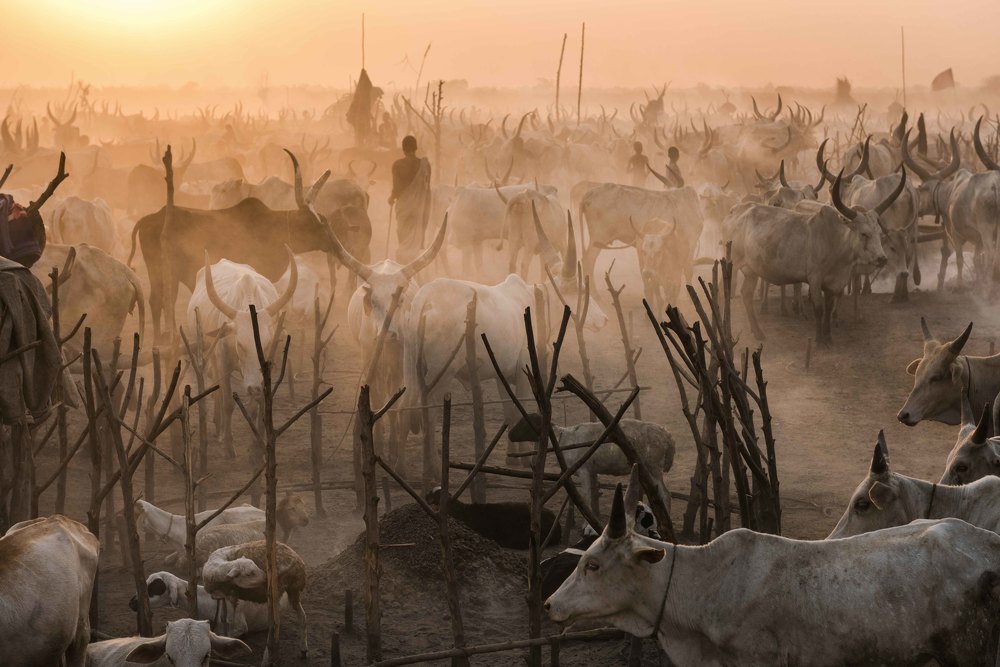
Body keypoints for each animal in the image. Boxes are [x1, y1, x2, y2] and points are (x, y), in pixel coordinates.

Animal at [188, 249, 298, 454]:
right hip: (211, 355)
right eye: (240, 344)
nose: (253, 387)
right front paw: (229, 447)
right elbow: (228, 403)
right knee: (217, 388)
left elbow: (256, 406)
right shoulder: (223, 362)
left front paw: (256, 444)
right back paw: (219, 427)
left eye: (268, 344)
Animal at [727, 169, 901, 343]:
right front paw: (819, 340)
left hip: (751, 271)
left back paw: (758, 332)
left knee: (746, 295)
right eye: (864, 233)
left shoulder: (833, 283)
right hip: (733, 265)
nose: (882, 259)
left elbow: (829, 308)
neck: (835, 241)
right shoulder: (815, 279)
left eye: (879, 232)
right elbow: (819, 308)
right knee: (730, 292)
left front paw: (828, 337)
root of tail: (735, 212)